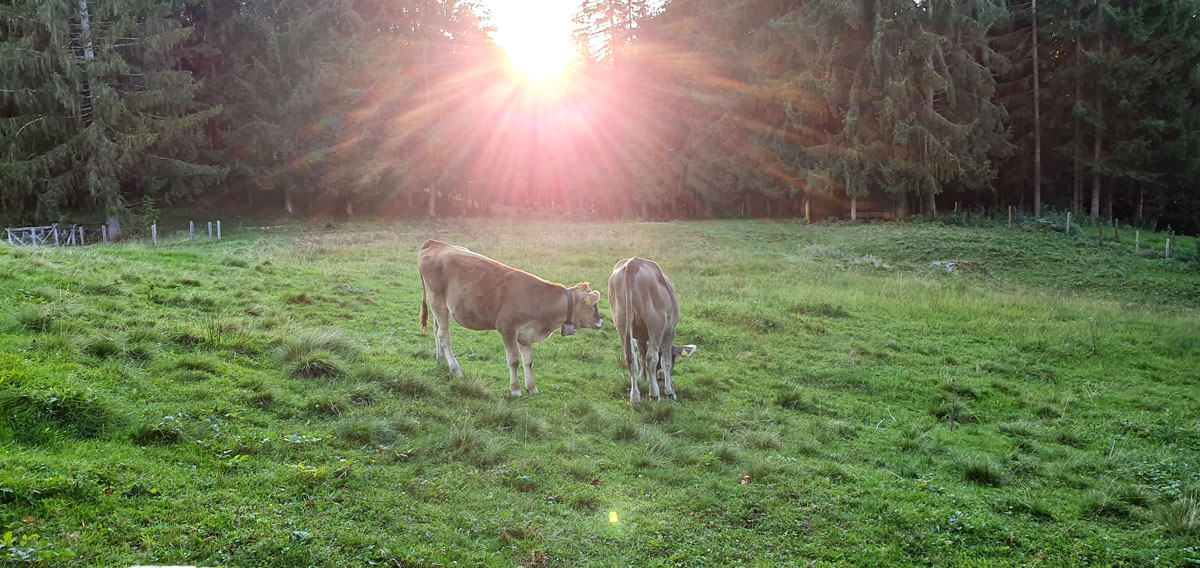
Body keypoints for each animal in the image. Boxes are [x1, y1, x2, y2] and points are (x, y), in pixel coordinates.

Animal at [415, 241, 600, 396]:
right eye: (592, 305)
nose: (600, 322)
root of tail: (434, 243)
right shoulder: (507, 328)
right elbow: (514, 360)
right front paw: (515, 390)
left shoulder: (526, 333)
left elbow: (528, 361)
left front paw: (532, 388)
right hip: (437, 301)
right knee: (444, 335)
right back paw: (455, 369)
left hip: (440, 307)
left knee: (436, 330)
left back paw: (441, 361)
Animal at [609, 256, 696, 403]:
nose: (659, 377)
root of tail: (633, 262)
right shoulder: (669, 333)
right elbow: (665, 361)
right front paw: (669, 391)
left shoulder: (639, 338)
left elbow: (642, 357)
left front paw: (643, 380)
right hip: (656, 323)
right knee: (652, 357)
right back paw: (654, 394)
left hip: (621, 321)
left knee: (631, 358)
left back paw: (635, 396)